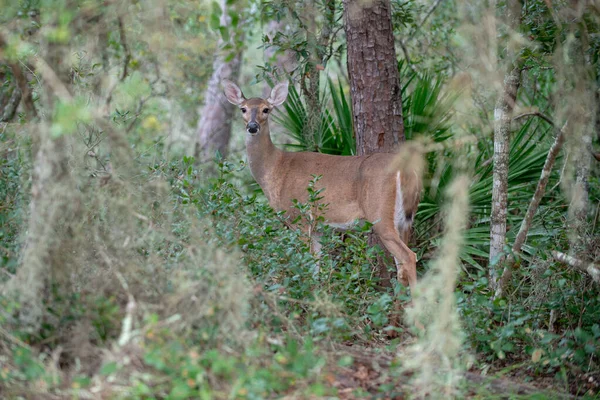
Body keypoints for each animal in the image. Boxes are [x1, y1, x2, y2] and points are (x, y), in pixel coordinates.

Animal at [221, 80, 422, 294]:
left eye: (266, 109)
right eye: (243, 109)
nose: (252, 126)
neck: (276, 168)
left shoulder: (298, 217)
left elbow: (305, 262)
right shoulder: (317, 227)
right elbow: (315, 266)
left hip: (380, 213)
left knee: (409, 256)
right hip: (404, 220)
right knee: (401, 264)